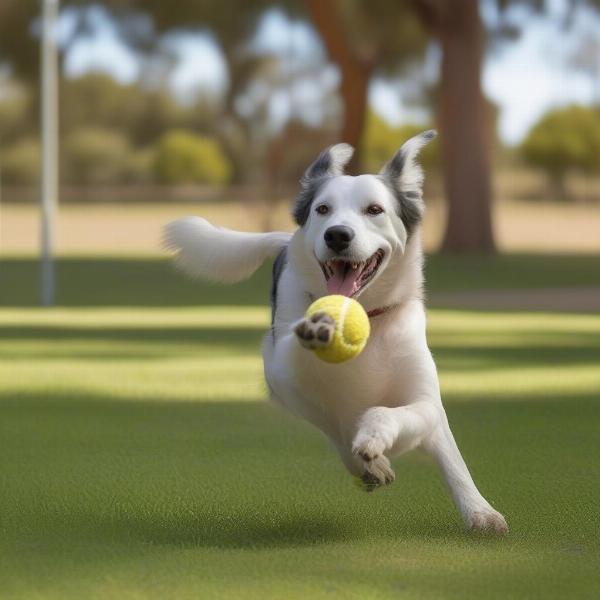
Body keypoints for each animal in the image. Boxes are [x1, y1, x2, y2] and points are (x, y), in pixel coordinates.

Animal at [164, 131, 506, 536]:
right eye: (323, 209)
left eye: (374, 210)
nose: (338, 235)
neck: (369, 321)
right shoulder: (289, 383)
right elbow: (336, 425)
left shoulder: (425, 402)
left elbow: (396, 417)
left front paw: (479, 512)